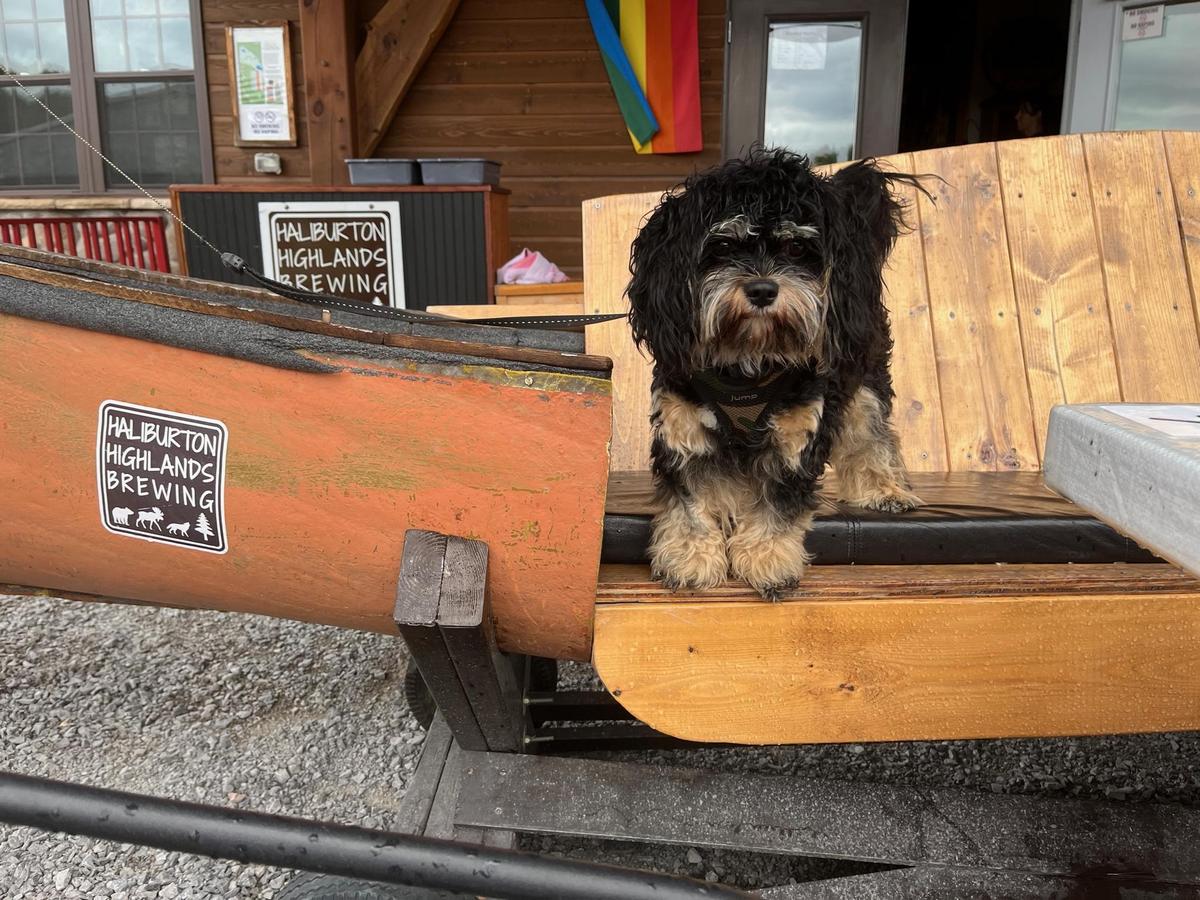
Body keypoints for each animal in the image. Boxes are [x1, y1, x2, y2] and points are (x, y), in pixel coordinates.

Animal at [633, 146, 921, 600]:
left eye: (798, 249)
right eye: (723, 246)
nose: (763, 290)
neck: (748, 363)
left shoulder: (799, 434)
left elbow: (780, 501)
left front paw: (766, 558)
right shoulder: (683, 428)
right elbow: (690, 501)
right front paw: (690, 557)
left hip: (864, 382)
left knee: (872, 436)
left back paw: (885, 489)